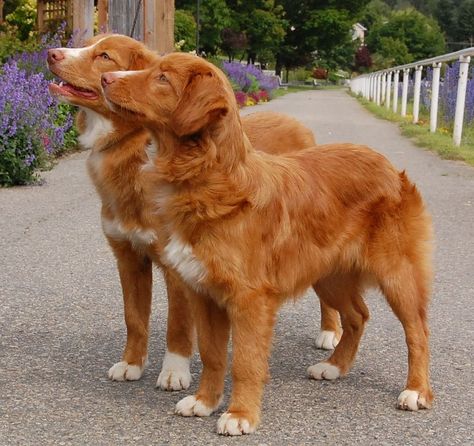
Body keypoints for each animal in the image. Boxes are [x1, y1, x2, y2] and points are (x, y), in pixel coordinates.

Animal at [46, 36, 338, 392]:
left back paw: (330, 333)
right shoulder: (128, 256)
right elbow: (134, 318)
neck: (136, 151)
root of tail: (300, 127)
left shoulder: (177, 264)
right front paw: (132, 363)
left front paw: (174, 371)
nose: (51, 53)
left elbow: (179, 325)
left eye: (104, 56)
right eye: (86, 44)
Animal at [103, 53, 434, 436]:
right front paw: (205, 402)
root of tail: (389, 167)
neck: (210, 180)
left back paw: (416, 390)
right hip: (329, 277)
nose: (107, 78)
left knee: (417, 332)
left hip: (397, 275)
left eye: (162, 78)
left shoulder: (249, 300)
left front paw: (240, 414)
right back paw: (334, 366)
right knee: (357, 317)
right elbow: (213, 356)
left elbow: (245, 362)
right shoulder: (204, 293)